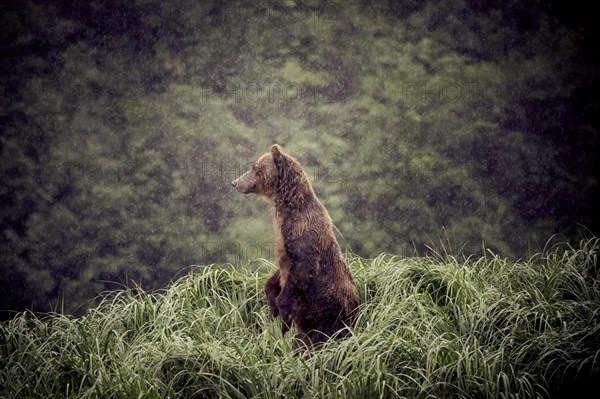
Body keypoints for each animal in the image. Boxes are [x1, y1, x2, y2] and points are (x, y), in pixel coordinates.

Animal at [232, 145, 358, 348]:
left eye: (253, 167)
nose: (235, 182)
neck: (287, 210)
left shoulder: (303, 234)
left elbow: (302, 269)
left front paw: (283, 316)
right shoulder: (283, 244)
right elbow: (277, 274)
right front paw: (272, 303)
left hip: (331, 312)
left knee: (325, 336)